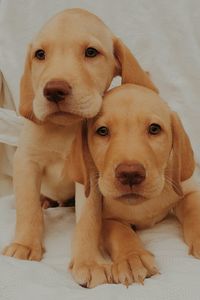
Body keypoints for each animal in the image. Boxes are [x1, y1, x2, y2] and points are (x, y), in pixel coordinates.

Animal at [2, 9, 157, 262]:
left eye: (91, 52)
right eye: (40, 54)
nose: (54, 90)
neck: (63, 129)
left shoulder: (90, 175)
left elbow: (88, 219)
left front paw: (88, 260)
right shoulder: (26, 162)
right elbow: (27, 208)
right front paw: (24, 243)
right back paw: (44, 201)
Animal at [70, 83, 200, 288]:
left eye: (154, 129)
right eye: (102, 131)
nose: (130, 174)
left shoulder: (188, 190)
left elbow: (194, 209)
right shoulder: (107, 217)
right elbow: (120, 232)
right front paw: (132, 258)